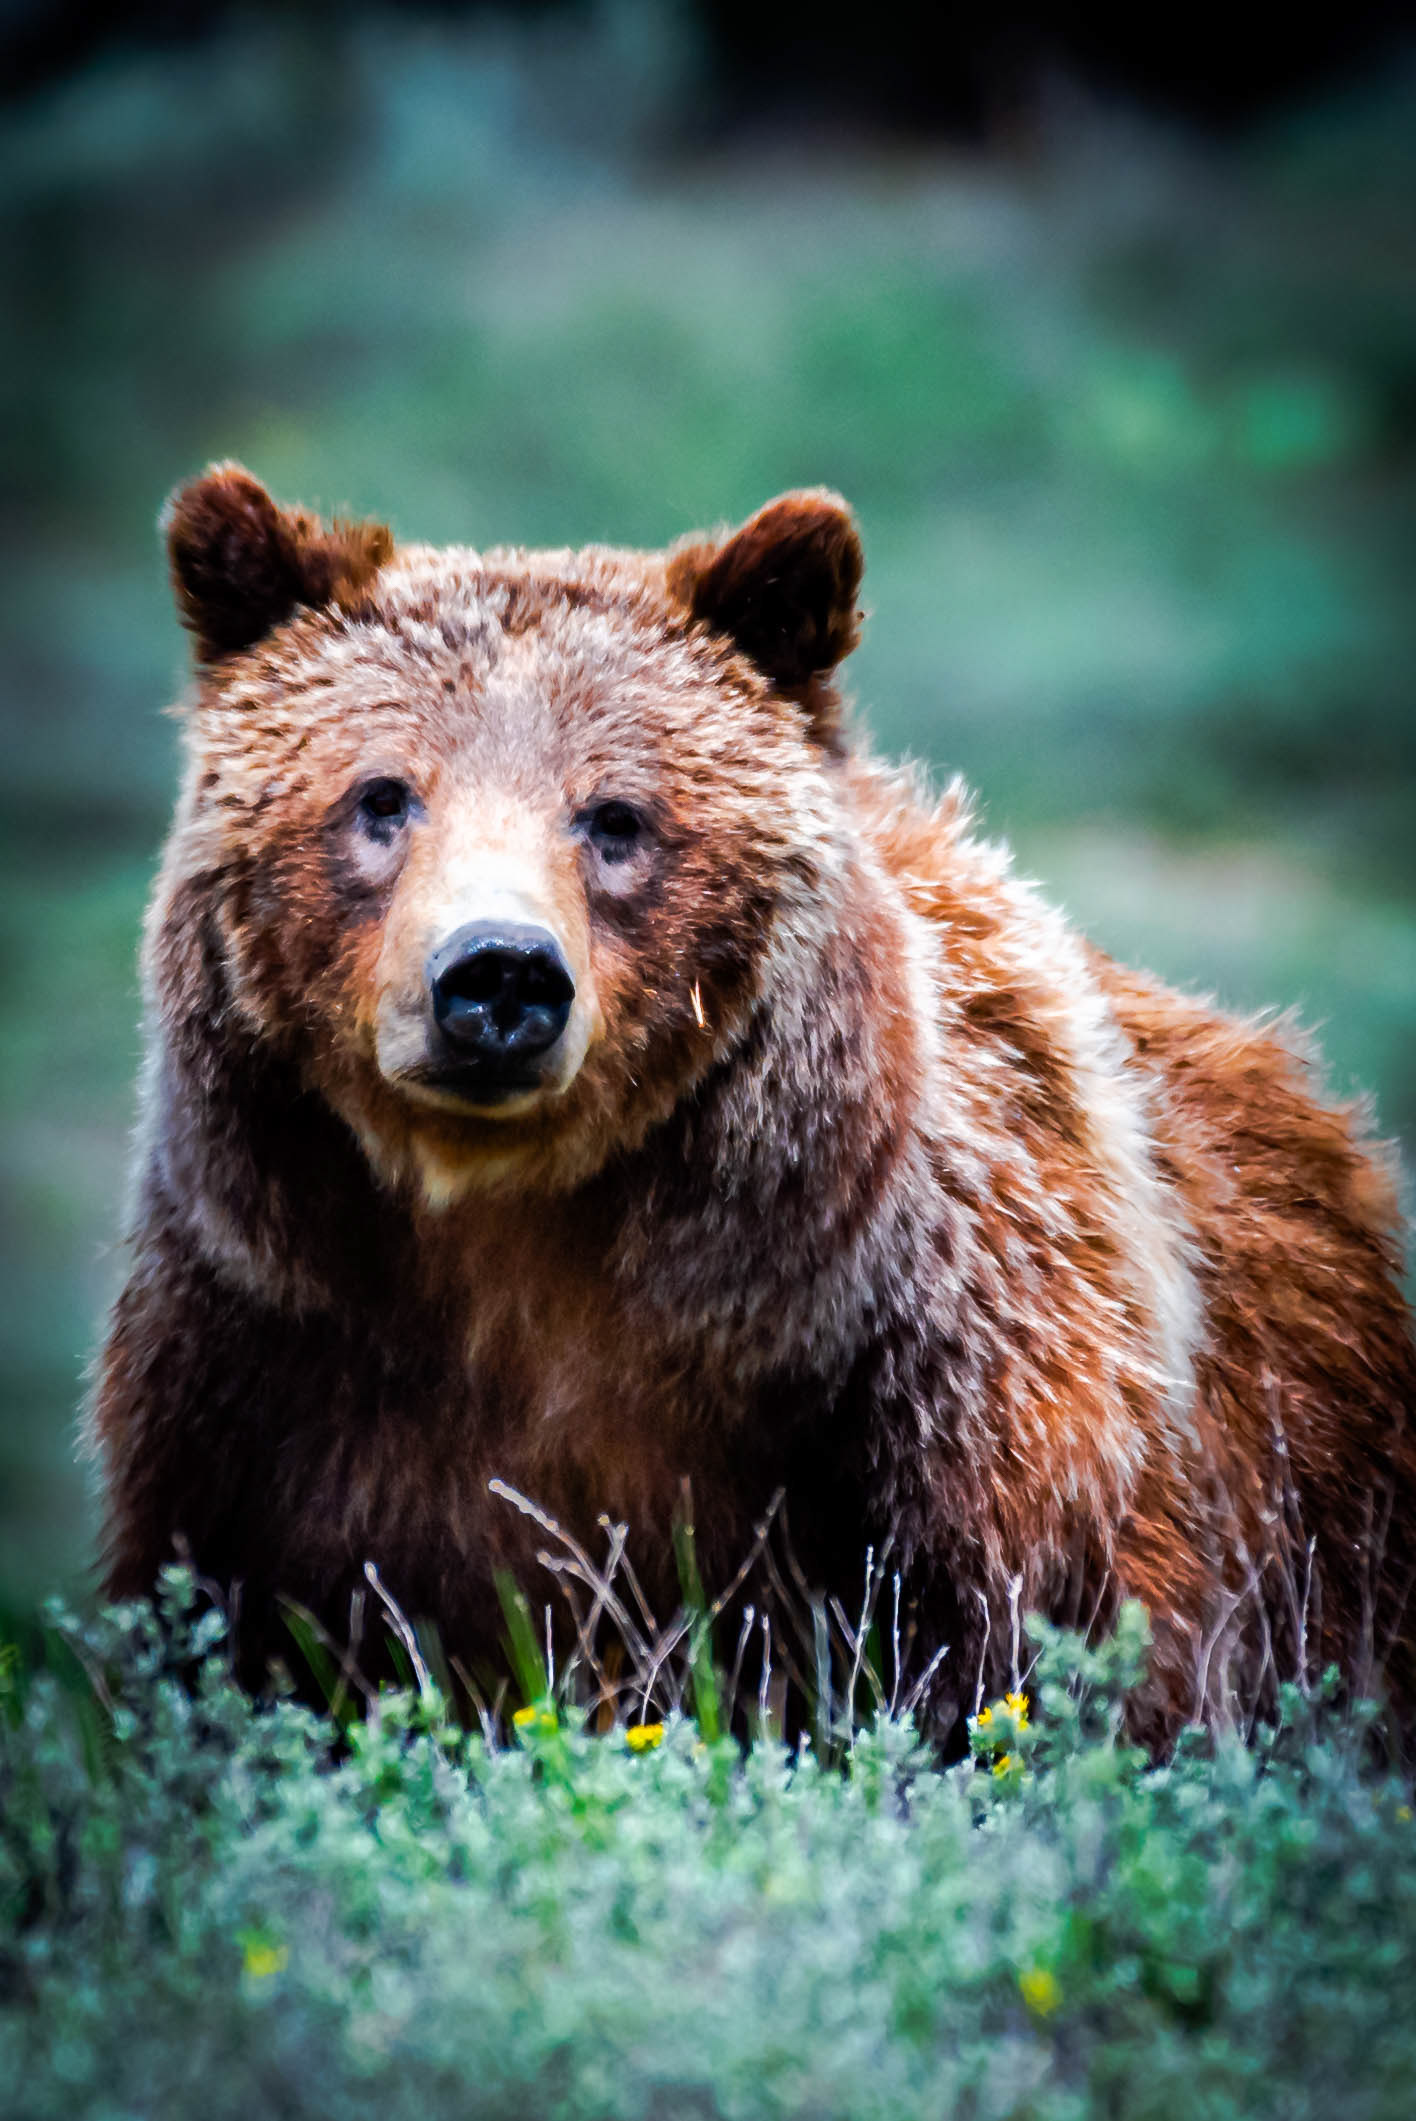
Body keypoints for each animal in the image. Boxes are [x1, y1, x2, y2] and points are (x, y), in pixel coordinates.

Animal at [91, 463, 1416, 1748]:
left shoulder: (945, 1373)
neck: (519, 1228)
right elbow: (268, 1637)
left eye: (616, 816)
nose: (497, 976)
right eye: (381, 796)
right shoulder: (270, 1356)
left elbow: (1029, 1647)